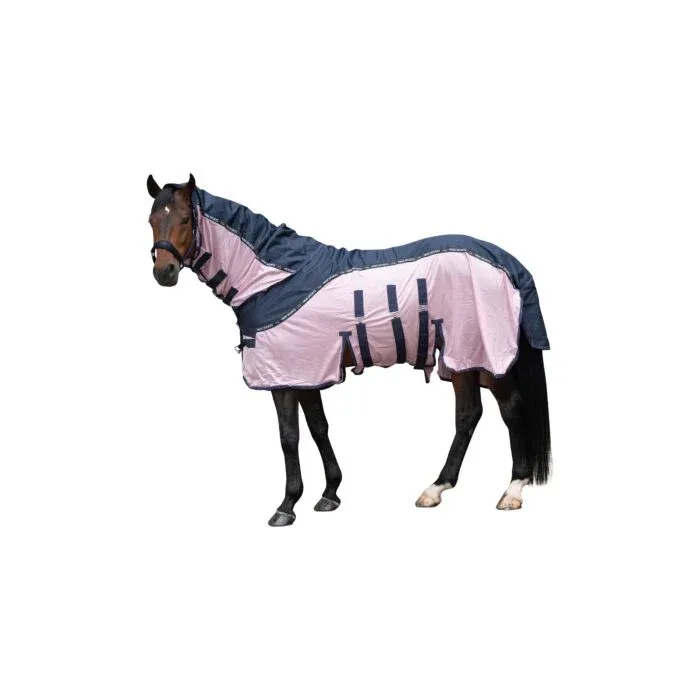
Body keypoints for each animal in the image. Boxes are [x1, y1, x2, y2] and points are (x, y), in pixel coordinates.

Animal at [147, 174, 551, 526]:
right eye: (151, 219)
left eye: (185, 219)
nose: (163, 272)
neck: (275, 278)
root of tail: (508, 262)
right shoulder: (306, 372)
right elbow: (318, 428)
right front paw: (329, 494)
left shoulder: (286, 374)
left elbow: (289, 436)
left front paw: (287, 505)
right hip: (464, 360)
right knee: (469, 415)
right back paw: (436, 488)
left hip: (483, 353)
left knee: (510, 410)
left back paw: (512, 490)